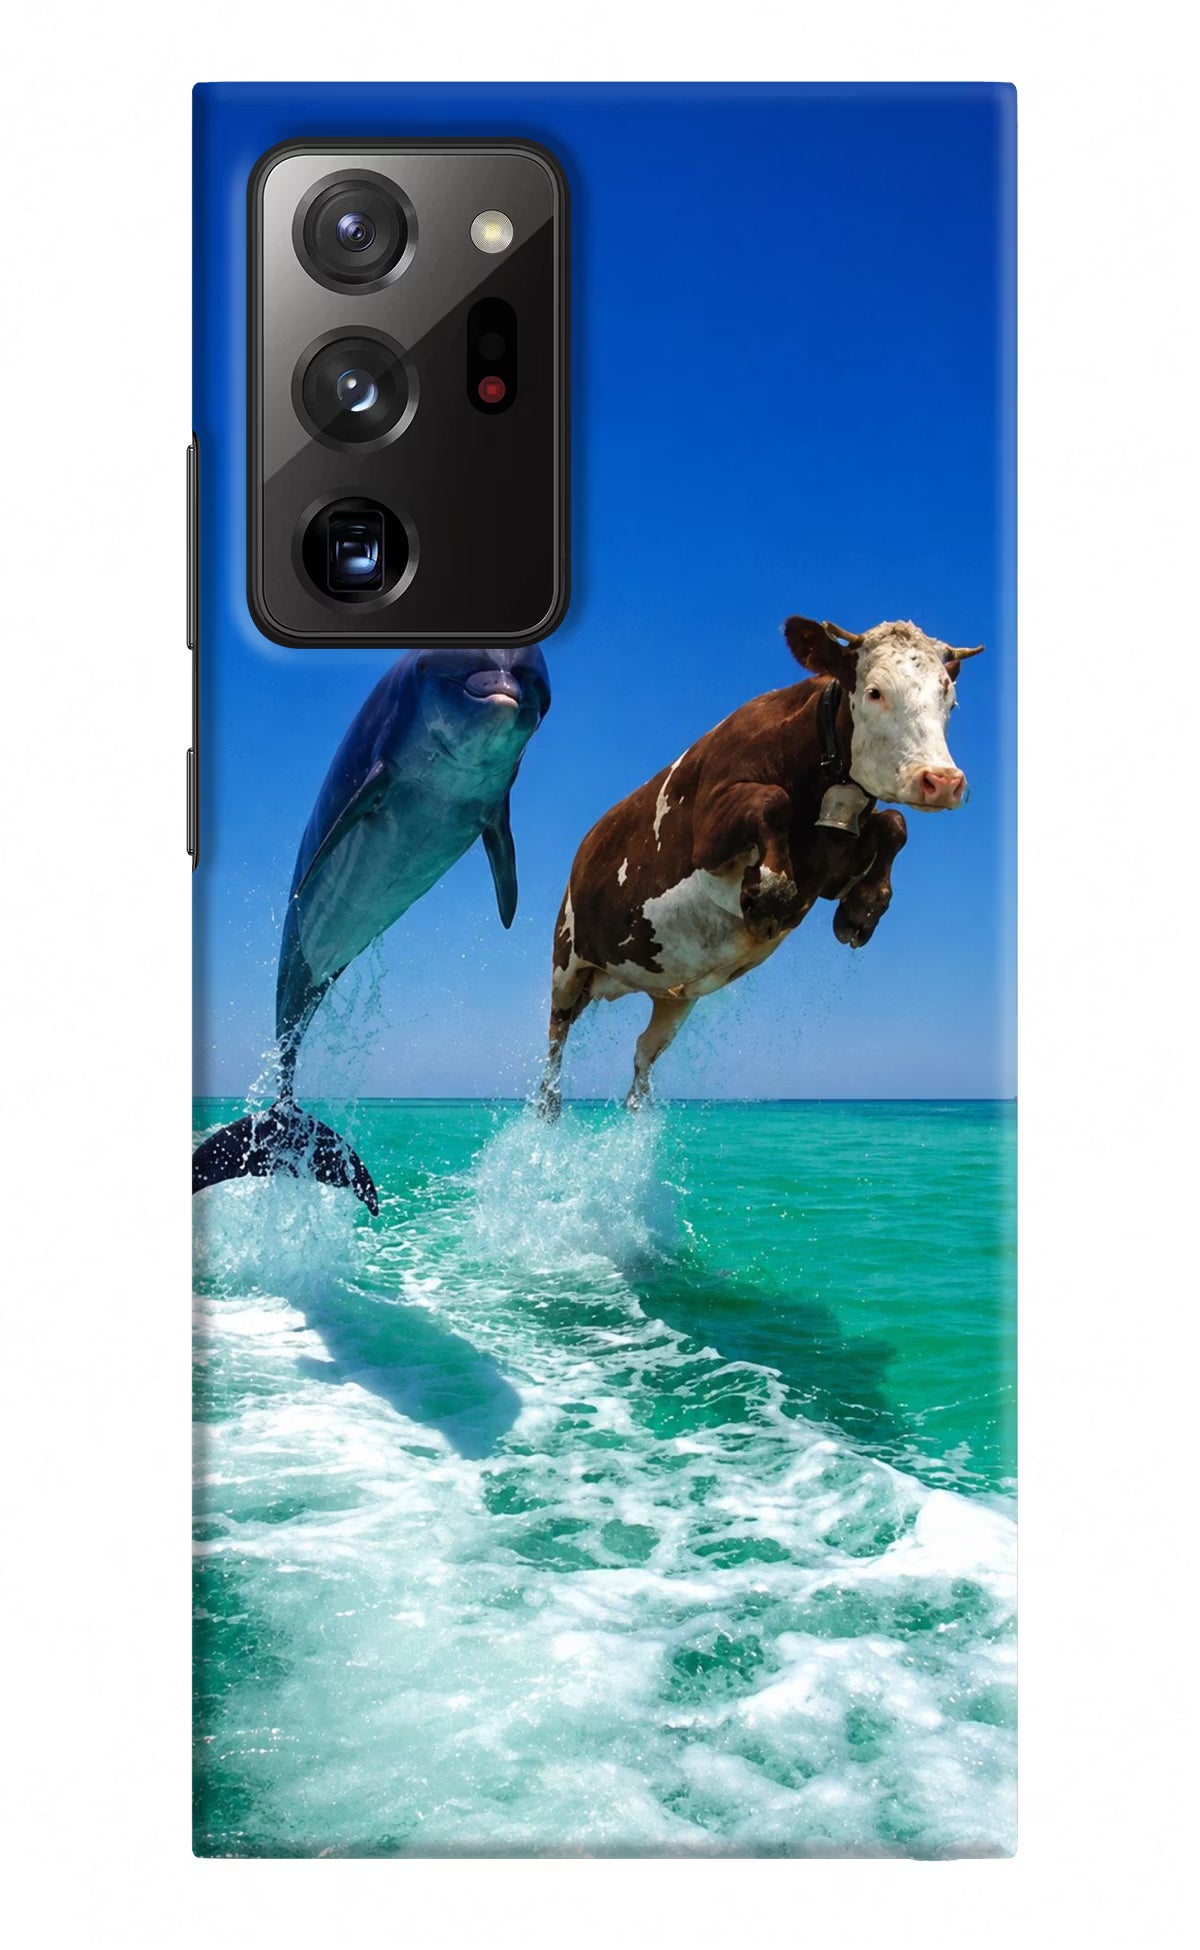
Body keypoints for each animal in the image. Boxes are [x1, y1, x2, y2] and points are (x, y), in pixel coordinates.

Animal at [537, 615, 983, 1116]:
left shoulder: (830, 866)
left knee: (642, 1053)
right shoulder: (709, 834)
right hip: (566, 961)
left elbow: (894, 823)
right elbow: (772, 801)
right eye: (874, 691)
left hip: (672, 995)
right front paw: (768, 894)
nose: (942, 781)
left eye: (950, 699)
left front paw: (862, 909)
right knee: (555, 1041)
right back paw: (549, 1106)